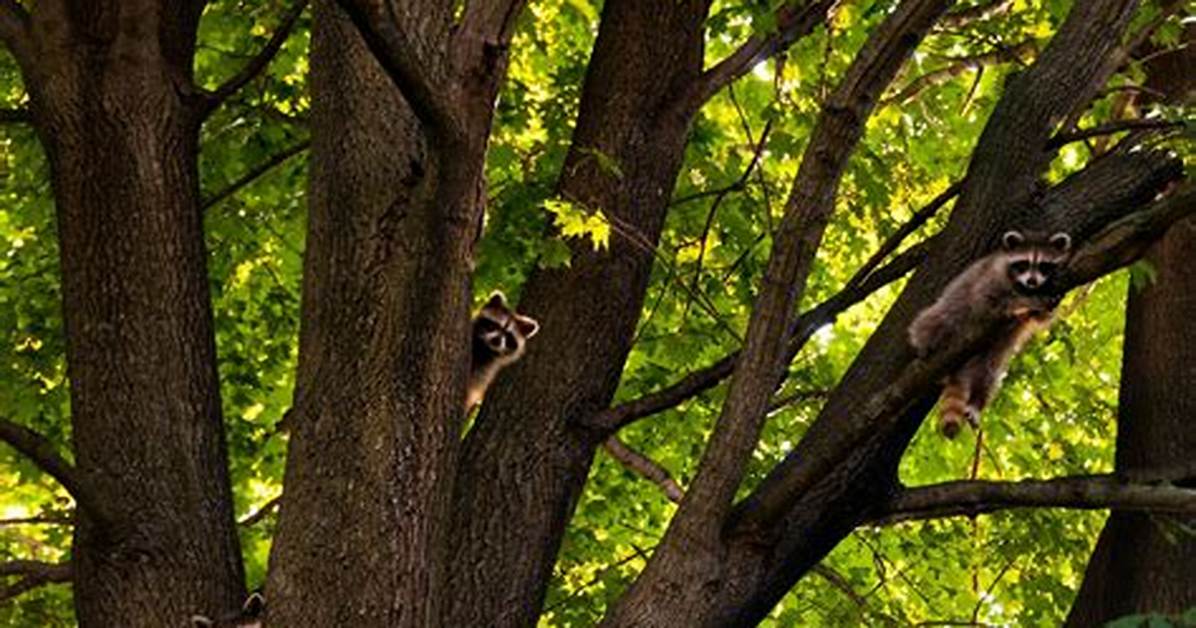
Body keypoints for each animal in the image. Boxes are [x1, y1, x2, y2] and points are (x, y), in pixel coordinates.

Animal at [908, 230, 1071, 438]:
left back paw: (977, 401)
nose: (1032, 281)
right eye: (1023, 264)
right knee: (940, 316)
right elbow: (989, 301)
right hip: (953, 312)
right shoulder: (990, 278)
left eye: (1044, 266)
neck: (1022, 285)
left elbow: (1044, 316)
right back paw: (926, 341)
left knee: (989, 373)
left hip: (994, 351)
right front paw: (1024, 302)